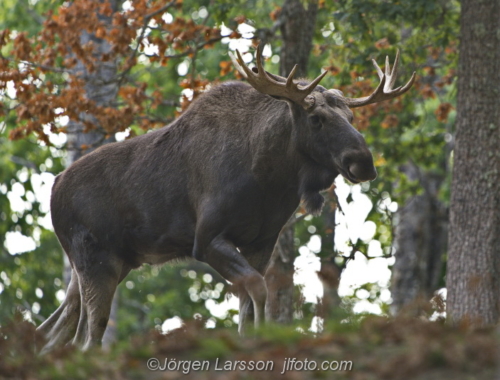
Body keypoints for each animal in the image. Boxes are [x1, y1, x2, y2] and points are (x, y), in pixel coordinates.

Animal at [38, 43, 414, 350]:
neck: (269, 179)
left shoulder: (262, 243)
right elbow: (258, 288)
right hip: (96, 261)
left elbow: (248, 302)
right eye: (316, 118)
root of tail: (54, 188)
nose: (363, 162)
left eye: (351, 116)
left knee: (55, 331)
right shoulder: (206, 239)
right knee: (85, 339)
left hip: (105, 265)